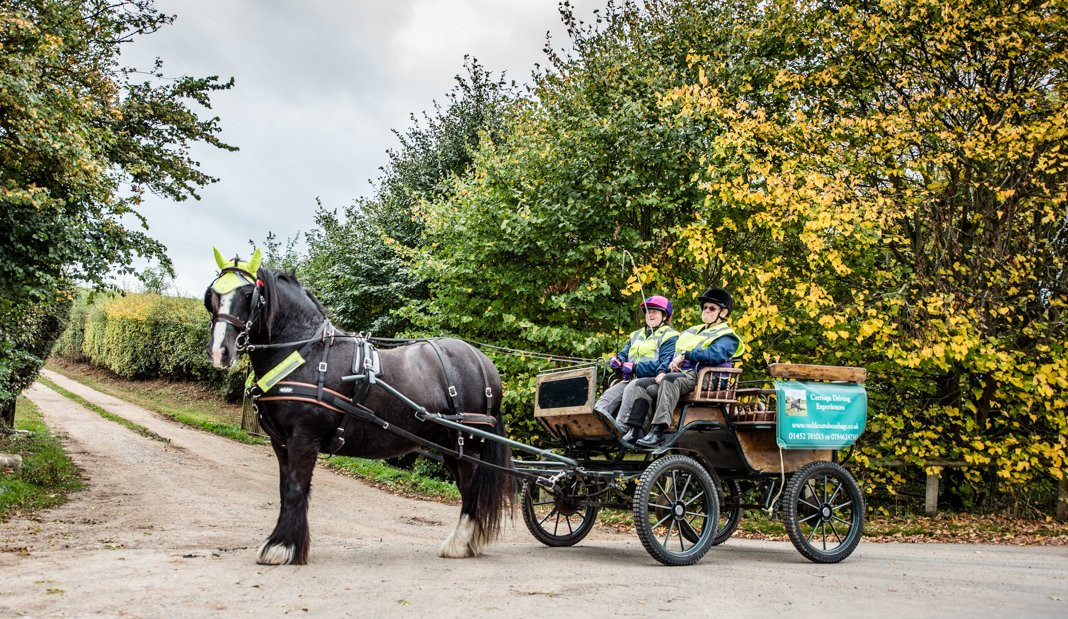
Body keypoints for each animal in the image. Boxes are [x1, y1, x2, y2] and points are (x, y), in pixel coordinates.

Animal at [205, 248, 516, 563]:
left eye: (248, 294)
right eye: (214, 296)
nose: (220, 352)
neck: (306, 353)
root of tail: (483, 361)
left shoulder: (304, 437)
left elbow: (296, 488)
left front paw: (283, 547)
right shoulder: (281, 442)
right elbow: (285, 489)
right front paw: (282, 543)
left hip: (469, 444)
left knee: (470, 489)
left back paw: (459, 544)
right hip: (451, 446)